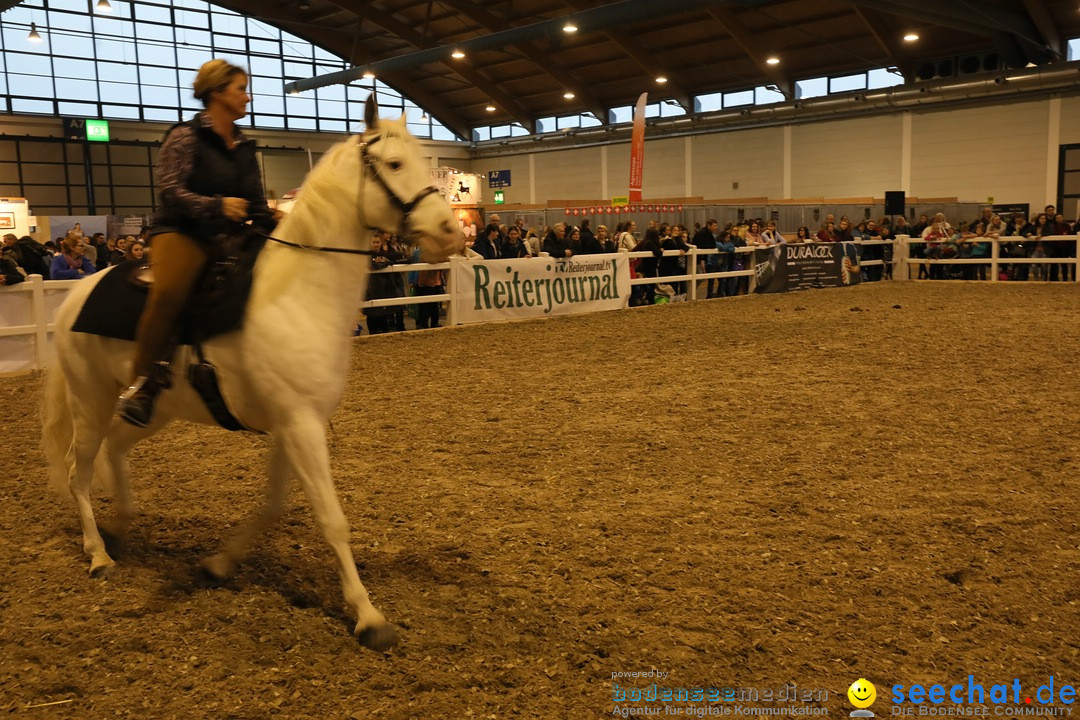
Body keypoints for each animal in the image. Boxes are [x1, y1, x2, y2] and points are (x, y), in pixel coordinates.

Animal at [42, 97, 460, 651]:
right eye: (394, 164)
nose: (450, 232)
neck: (297, 294)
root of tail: (75, 295)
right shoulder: (300, 426)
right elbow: (331, 518)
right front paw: (369, 616)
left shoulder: (293, 425)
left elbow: (274, 506)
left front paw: (218, 564)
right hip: (88, 400)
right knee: (79, 471)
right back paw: (98, 554)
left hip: (155, 409)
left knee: (114, 447)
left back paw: (123, 525)